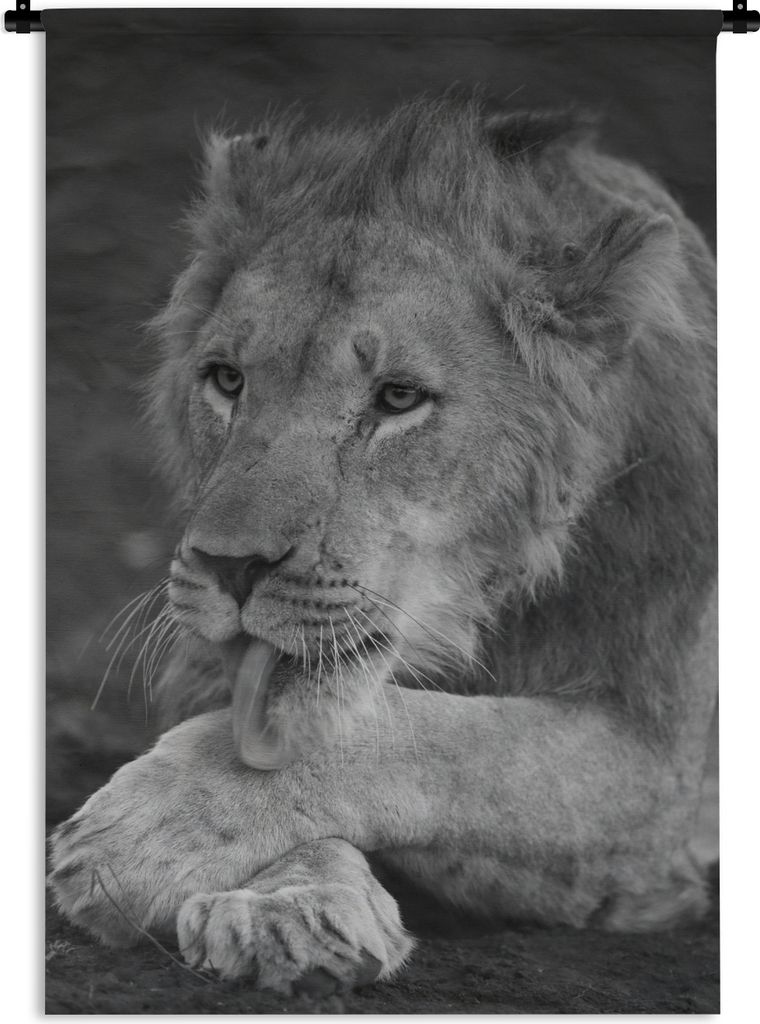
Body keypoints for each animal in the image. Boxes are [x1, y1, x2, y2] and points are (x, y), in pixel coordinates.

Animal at [48, 99, 717, 994]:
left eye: (398, 398)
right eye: (226, 379)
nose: (229, 567)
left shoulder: (659, 773)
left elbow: (454, 741)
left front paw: (148, 829)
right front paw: (289, 906)